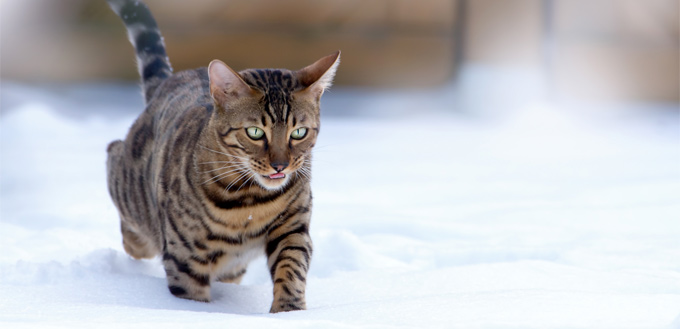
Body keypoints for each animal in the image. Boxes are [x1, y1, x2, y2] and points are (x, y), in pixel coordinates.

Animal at [106, 0, 340, 312]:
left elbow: (292, 267)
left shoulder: (293, 225)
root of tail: (170, 80)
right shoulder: (184, 257)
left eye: (299, 132)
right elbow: (191, 296)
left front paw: (289, 312)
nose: (280, 165)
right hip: (129, 188)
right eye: (255, 132)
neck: (249, 202)